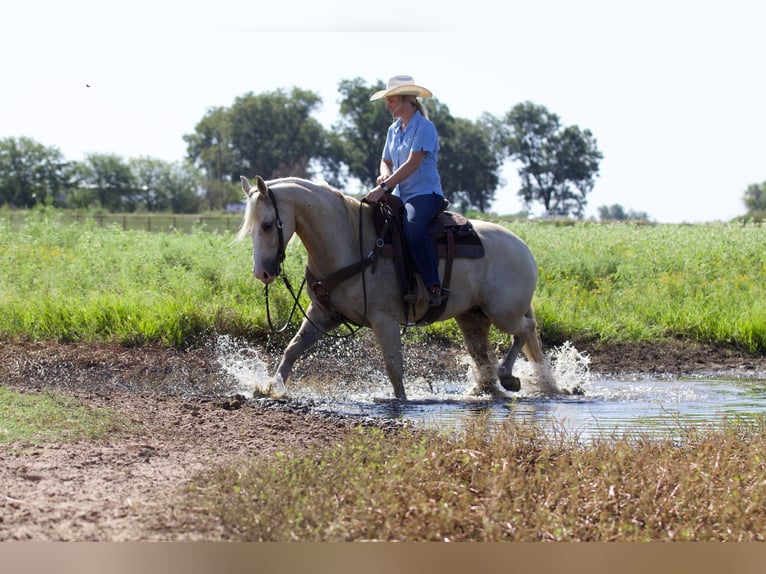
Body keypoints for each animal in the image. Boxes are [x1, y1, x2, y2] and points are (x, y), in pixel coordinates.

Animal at [238, 176, 544, 400]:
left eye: (268, 225)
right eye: (251, 228)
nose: (262, 273)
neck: (351, 243)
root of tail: (522, 247)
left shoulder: (384, 320)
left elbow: (393, 366)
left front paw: (401, 400)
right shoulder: (323, 314)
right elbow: (292, 348)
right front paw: (272, 387)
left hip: (502, 312)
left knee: (525, 329)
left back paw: (509, 377)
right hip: (473, 317)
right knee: (483, 355)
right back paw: (485, 388)